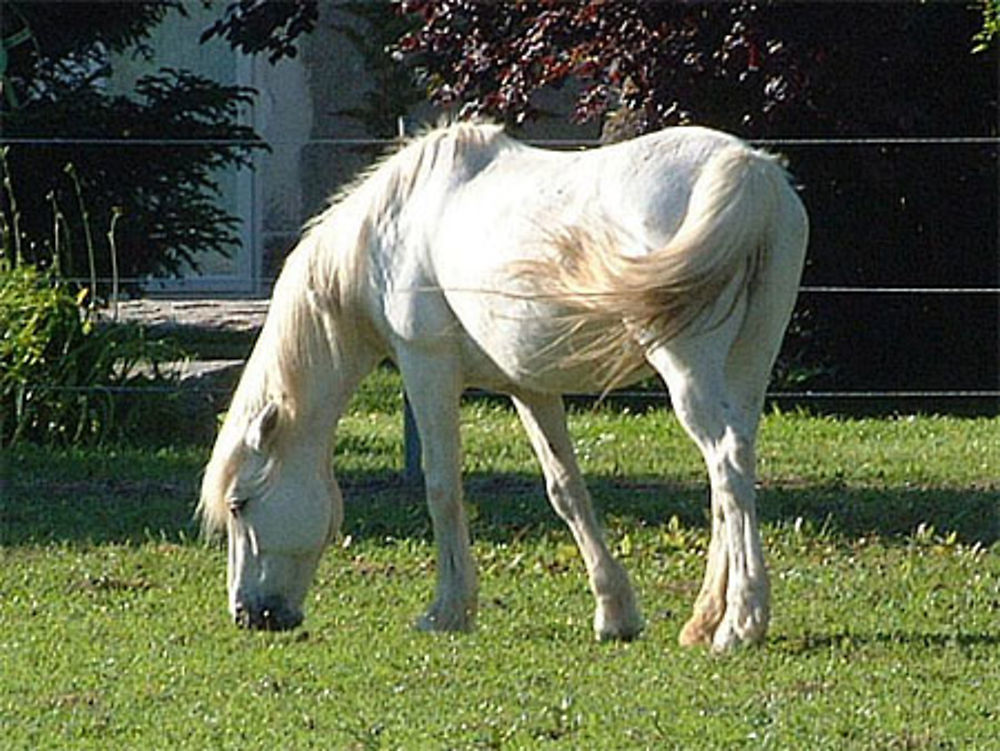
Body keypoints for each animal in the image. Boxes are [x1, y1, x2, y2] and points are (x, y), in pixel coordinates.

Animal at [198, 120, 808, 652]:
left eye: (239, 504)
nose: (250, 614)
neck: (392, 226)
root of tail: (748, 170)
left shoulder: (427, 367)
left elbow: (442, 486)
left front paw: (448, 610)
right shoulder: (528, 386)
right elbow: (566, 490)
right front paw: (615, 613)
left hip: (688, 368)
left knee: (726, 460)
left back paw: (741, 624)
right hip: (746, 368)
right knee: (729, 476)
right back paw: (705, 620)